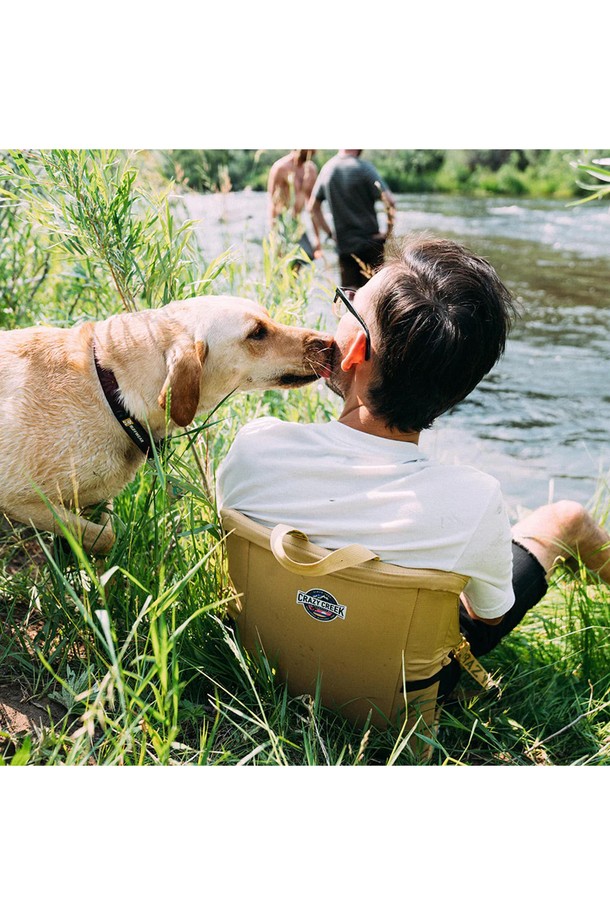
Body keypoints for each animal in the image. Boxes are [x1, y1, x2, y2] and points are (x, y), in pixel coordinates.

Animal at [0, 296, 332, 556]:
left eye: (267, 318)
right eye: (257, 333)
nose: (329, 343)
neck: (110, 392)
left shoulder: (98, 497)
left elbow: (103, 539)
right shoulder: (20, 500)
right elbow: (105, 537)